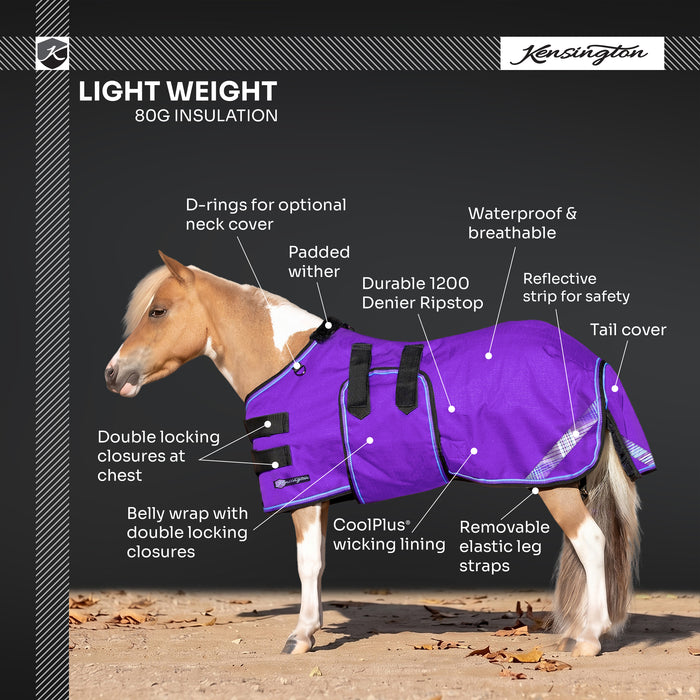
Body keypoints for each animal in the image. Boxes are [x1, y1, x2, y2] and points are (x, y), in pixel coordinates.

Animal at [105, 251, 647, 657]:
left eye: (158, 311)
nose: (113, 374)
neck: (289, 362)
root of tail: (588, 358)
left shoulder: (303, 491)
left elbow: (306, 564)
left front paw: (300, 637)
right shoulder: (322, 496)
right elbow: (319, 563)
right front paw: (312, 627)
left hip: (555, 483)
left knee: (592, 543)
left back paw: (589, 639)